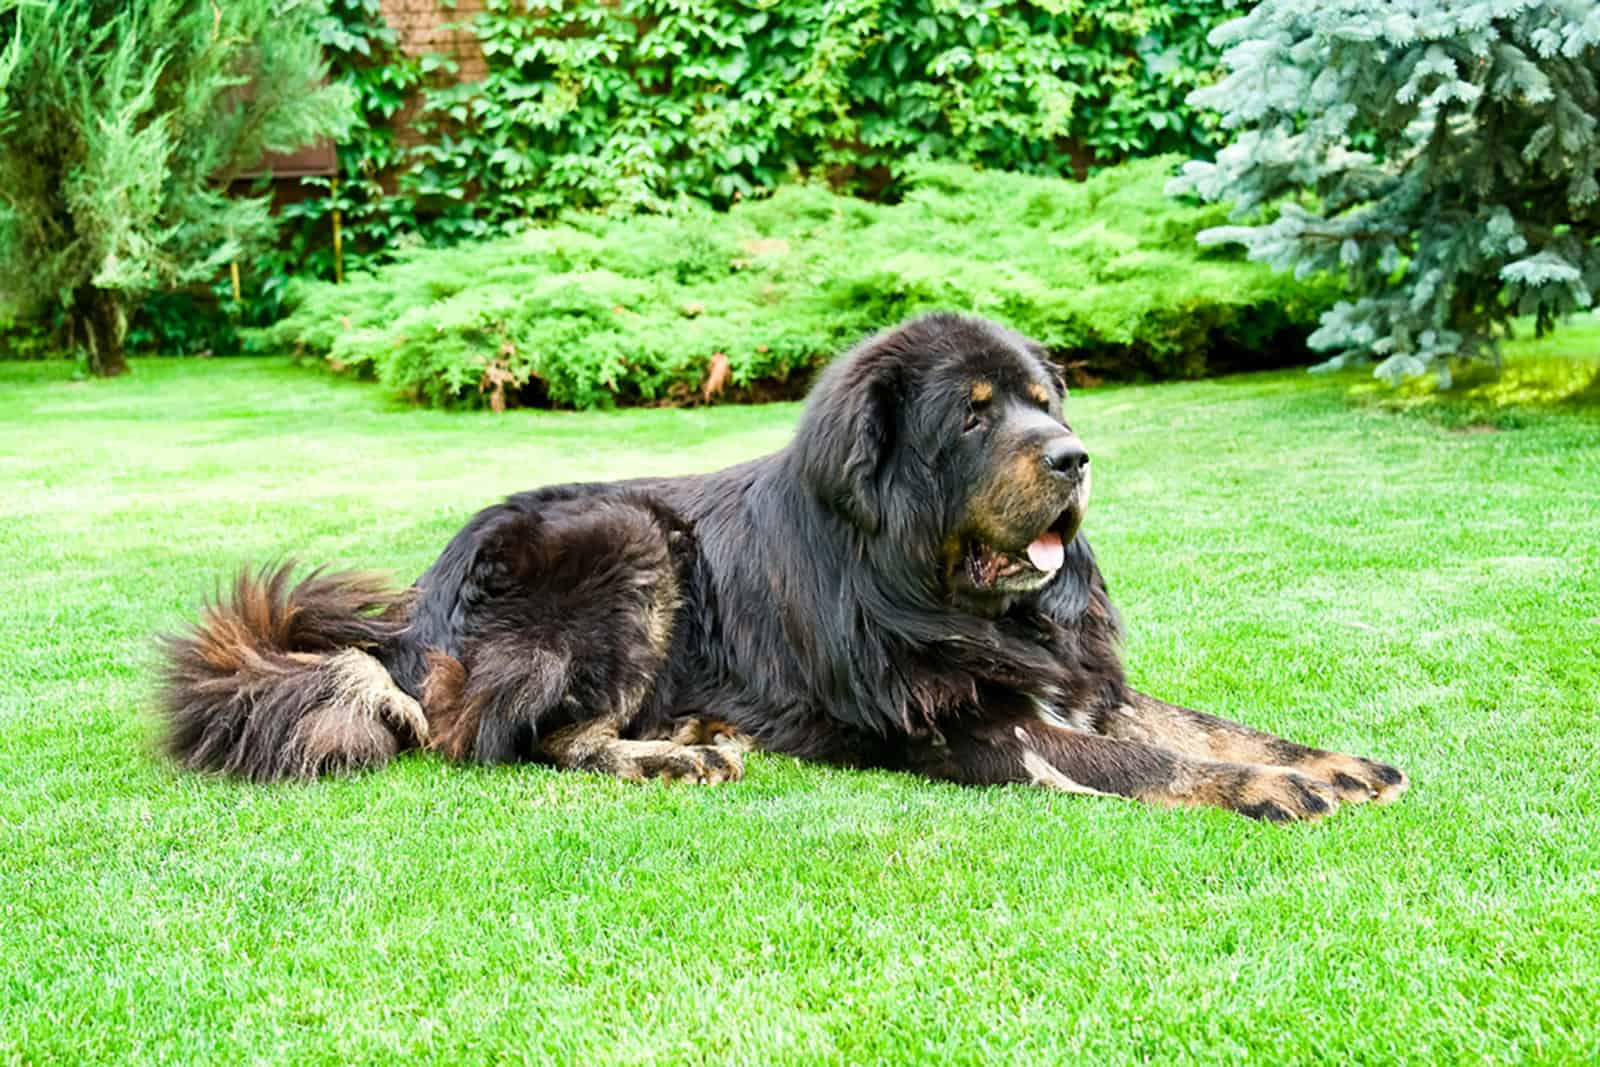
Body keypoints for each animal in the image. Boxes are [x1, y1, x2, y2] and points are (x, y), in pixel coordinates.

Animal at [162, 313, 1408, 825]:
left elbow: (1208, 721)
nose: (1072, 456)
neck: (945, 589)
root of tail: (414, 618)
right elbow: (1152, 759)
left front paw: (1325, 759)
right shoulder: (972, 726)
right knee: (516, 736)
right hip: (626, 541)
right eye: (974, 416)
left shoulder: (1076, 680)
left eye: (1046, 401)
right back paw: (672, 757)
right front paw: (1263, 789)